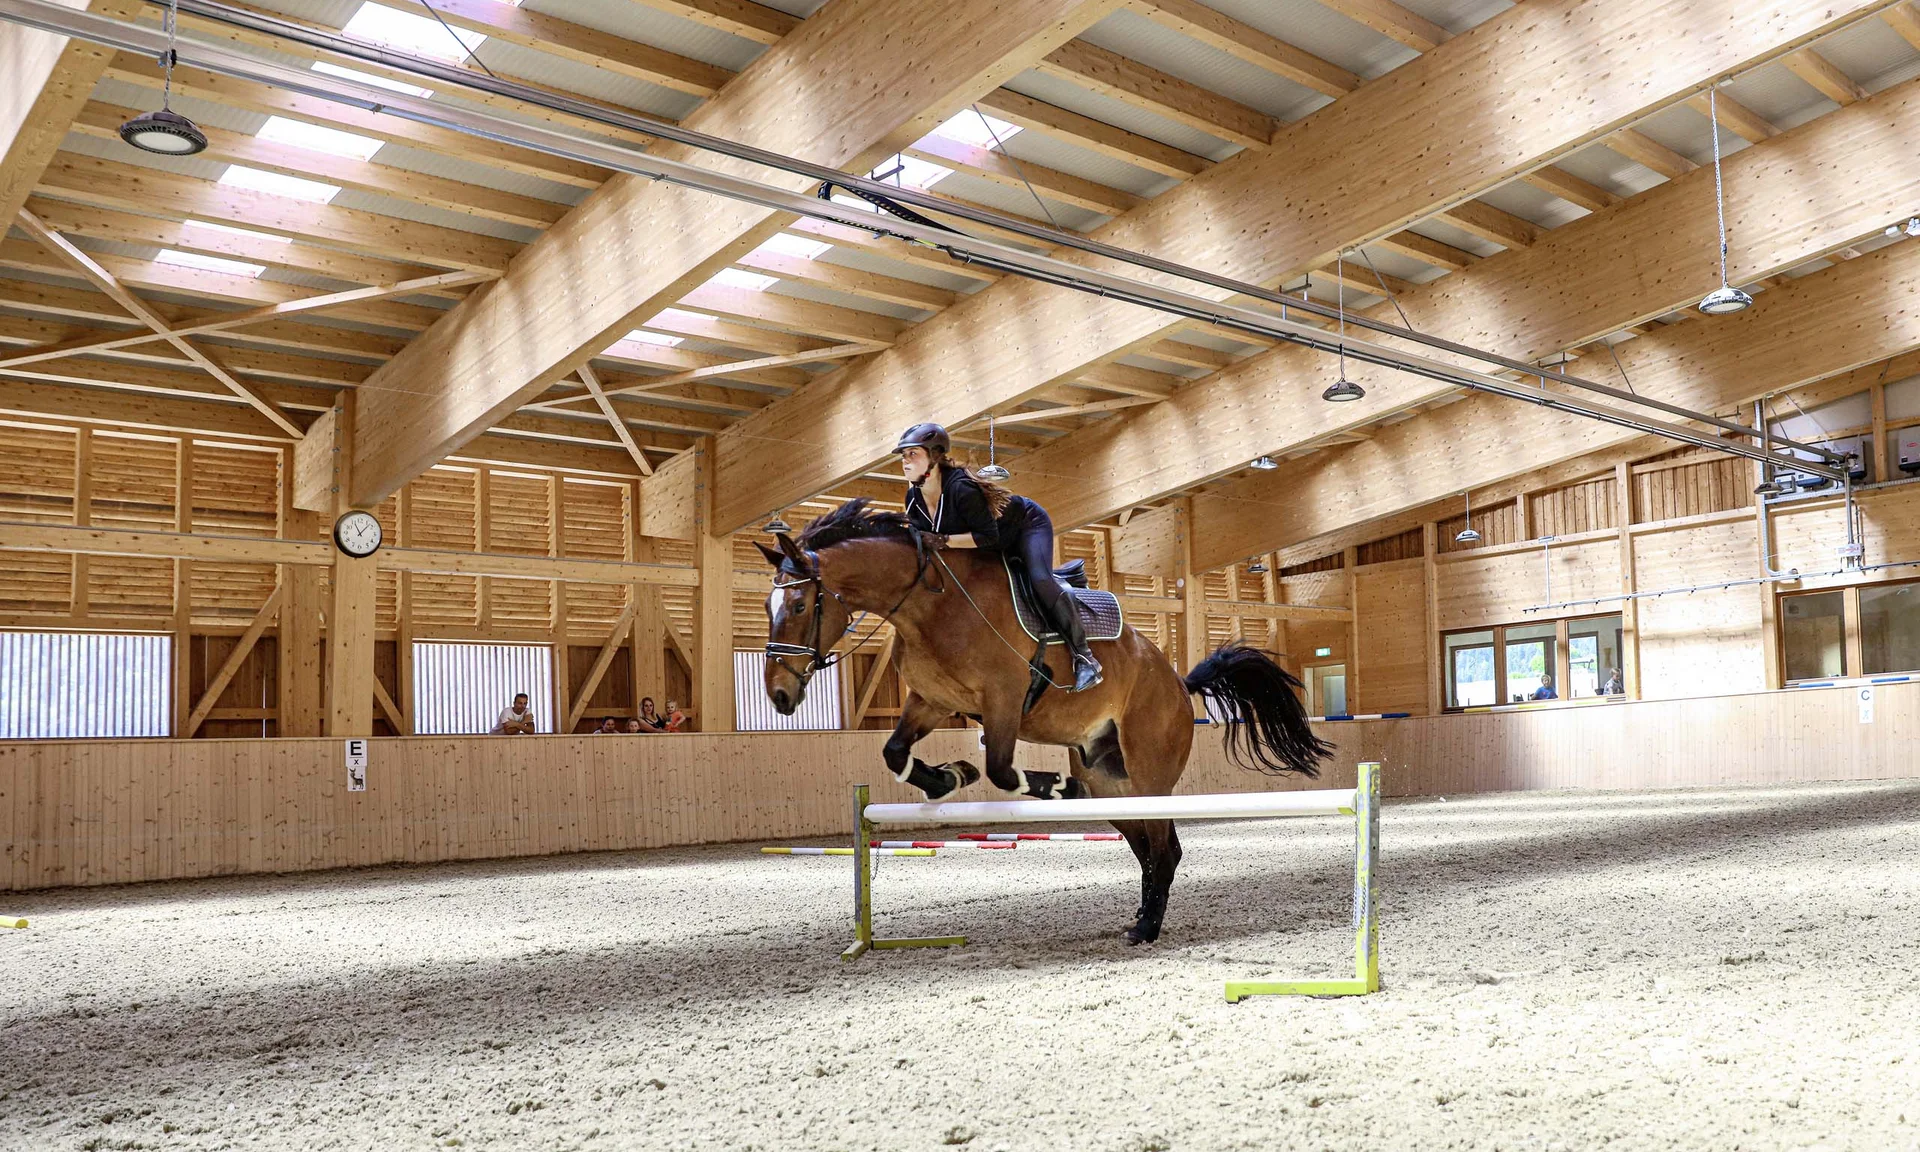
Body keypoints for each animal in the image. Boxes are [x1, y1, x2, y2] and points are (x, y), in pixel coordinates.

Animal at [756, 499, 1332, 944]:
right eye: (768, 606)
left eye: (801, 604)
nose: (779, 695)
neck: (927, 605)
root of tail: (1176, 680)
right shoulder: (931, 701)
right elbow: (897, 752)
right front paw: (948, 778)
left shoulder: (1004, 701)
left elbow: (1002, 769)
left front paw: (1048, 785)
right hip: (1110, 782)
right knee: (1148, 849)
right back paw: (1141, 916)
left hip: (1149, 771)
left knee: (1164, 847)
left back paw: (1146, 926)